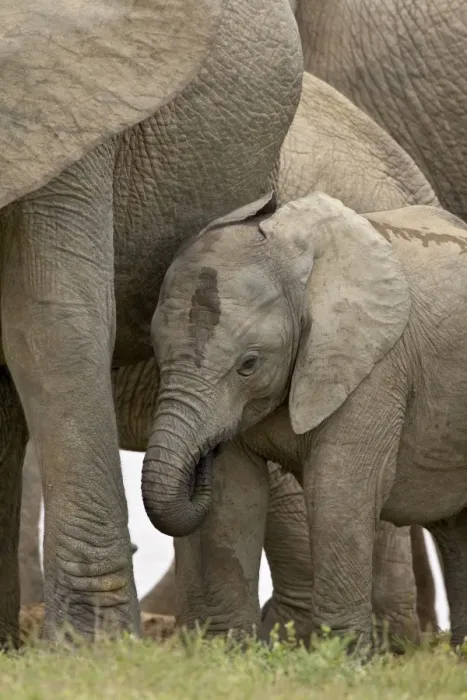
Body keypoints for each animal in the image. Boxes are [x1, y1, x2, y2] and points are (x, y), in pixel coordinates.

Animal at [147, 191, 467, 649]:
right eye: (155, 351)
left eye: (248, 364)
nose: (203, 455)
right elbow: (234, 497)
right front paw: (230, 653)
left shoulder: (375, 366)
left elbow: (338, 488)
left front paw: (342, 656)